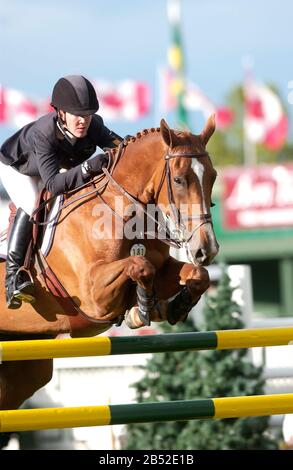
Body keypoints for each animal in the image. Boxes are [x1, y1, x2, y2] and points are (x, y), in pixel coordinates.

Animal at [0, 114, 218, 414]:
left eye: (213, 176)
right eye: (178, 180)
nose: (206, 249)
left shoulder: (164, 268)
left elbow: (197, 274)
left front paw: (171, 307)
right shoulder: (93, 297)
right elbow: (140, 265)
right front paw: (142, 309)